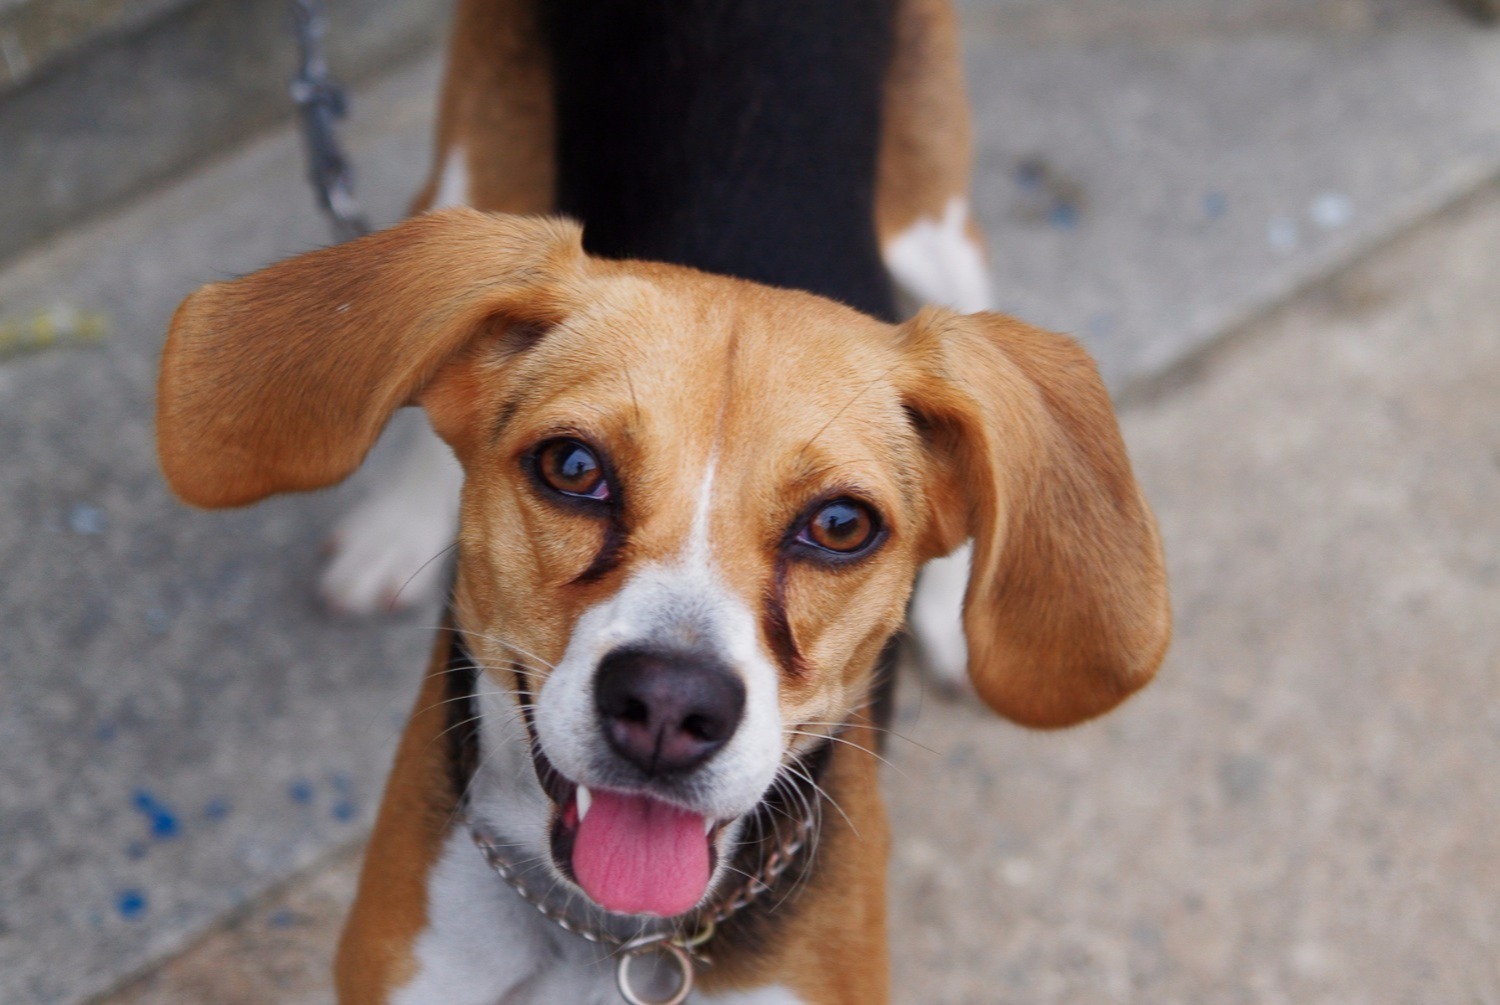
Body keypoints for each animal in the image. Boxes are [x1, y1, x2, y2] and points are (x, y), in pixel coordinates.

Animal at [155, 3, 1170, 1002]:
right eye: (572, 466)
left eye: (841, 525)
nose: (670, 706)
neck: (611, 934)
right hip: (473, 169)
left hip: (938, 236)